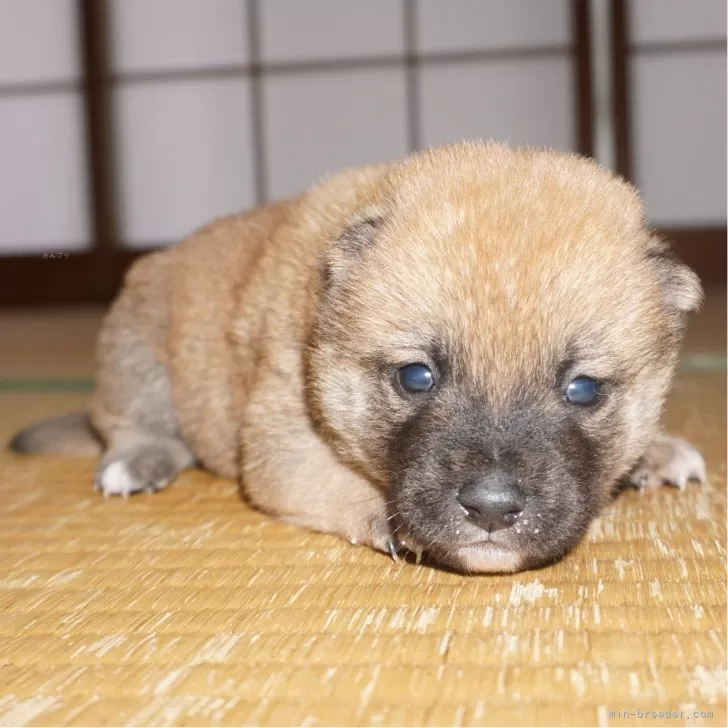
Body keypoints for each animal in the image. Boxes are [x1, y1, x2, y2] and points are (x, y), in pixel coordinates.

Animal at [9, 142, 704, 576]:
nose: (491, 508)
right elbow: (338, 484)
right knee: (131, 424)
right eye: (416, 376)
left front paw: (654, 450)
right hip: (138, 347)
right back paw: (136, 460)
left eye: (583, 389)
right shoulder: (281, 442)